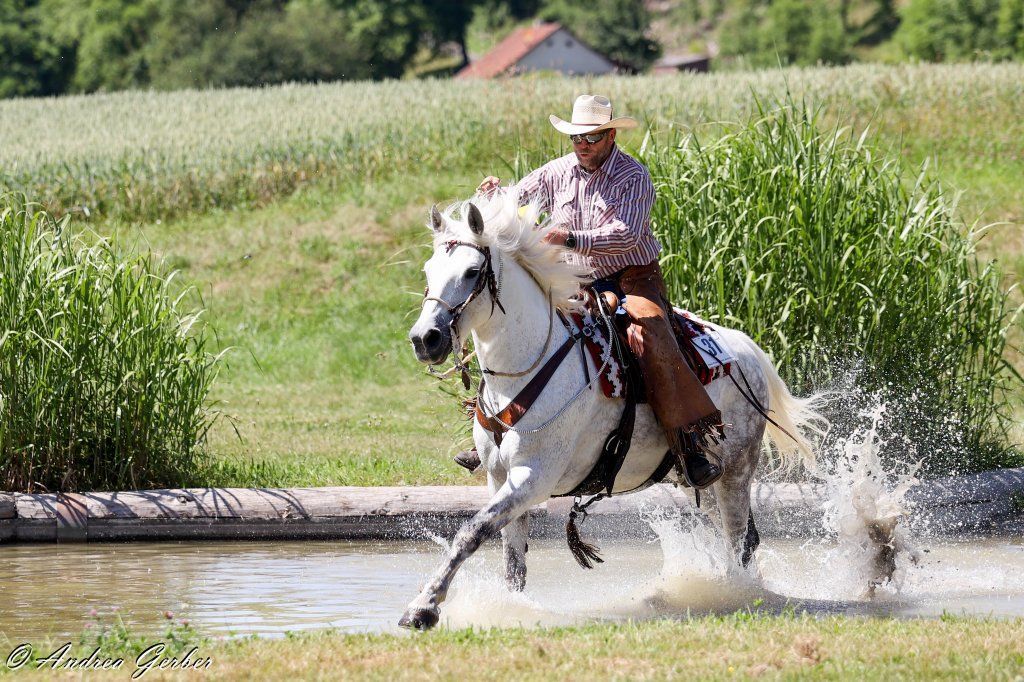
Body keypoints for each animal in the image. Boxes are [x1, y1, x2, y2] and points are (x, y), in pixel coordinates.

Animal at [403, 188, 827, 630]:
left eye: (472, 272)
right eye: (429, 270)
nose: (425, 338)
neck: (530, 364)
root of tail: (747, 349)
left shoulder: (532, 477)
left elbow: (472, 531)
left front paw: (424, 607)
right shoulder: (498, 475)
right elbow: (512, 560)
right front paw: (509, 607)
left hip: (737, 472)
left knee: (738, 540)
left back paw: (734, 593)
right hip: (705, 479)